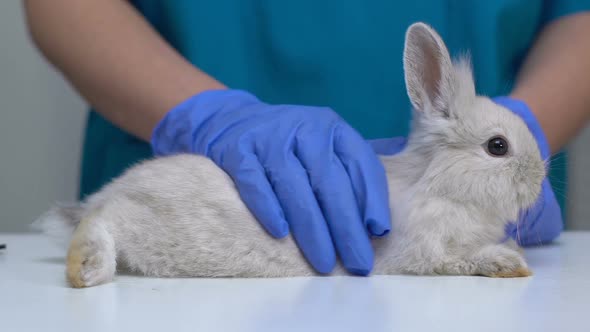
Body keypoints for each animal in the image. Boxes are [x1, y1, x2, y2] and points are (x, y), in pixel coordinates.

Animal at [34, 22, 548, 288]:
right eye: (497, 147)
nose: (540, 180)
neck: (439, 183)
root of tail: (111, 192)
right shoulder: (423, 252)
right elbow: (459, 260)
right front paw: (507, 263)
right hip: (128, 221)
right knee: (100, 225)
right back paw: (86, 269)